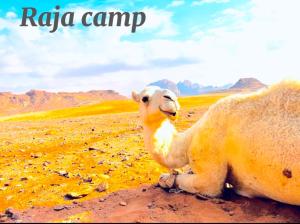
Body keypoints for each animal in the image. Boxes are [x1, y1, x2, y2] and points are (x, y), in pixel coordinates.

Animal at [132, 81, 300, 206]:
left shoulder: (208, 163)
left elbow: (204, 184)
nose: (171, 98)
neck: (189, 140)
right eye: (144, 98)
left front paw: (167, 179)